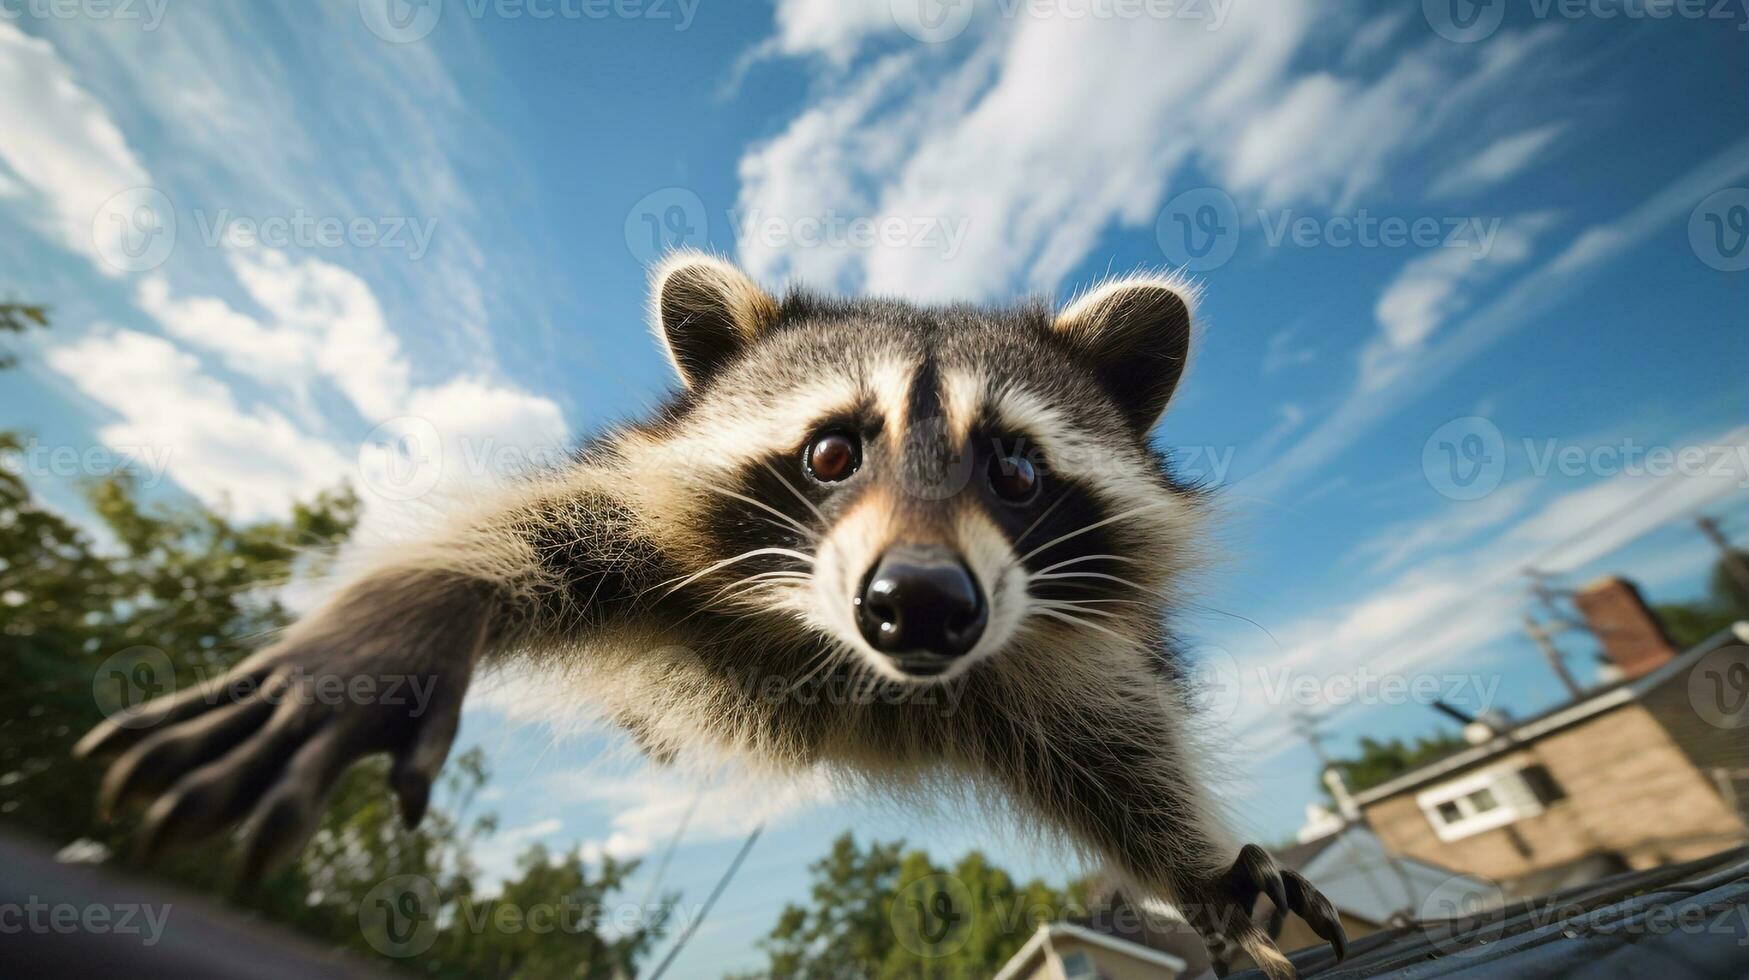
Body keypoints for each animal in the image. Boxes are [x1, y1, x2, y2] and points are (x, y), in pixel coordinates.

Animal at [75, 253, 1343, 980]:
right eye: (832, 450)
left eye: (1018, 469)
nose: (921, 604)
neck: (861, 671)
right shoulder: (655, 530)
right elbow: (533, 530)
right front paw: (400, 623)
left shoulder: (1054, 643)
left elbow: (1121, 748)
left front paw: (1196, 869)